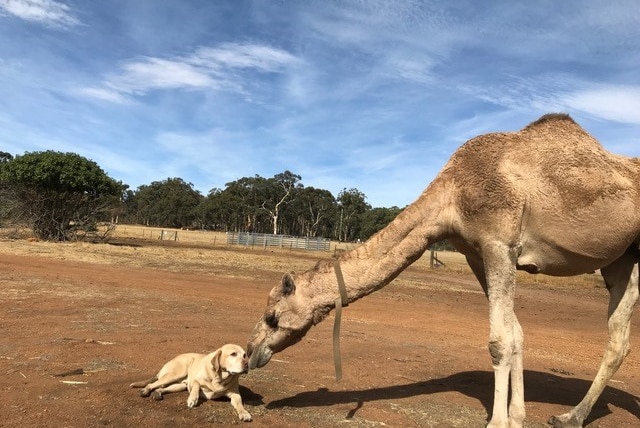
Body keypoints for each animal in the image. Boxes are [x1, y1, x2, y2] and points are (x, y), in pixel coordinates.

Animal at [246, 113, 640, 428]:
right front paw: (517, 417)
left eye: (271, 317)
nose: (251, 353)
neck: (453, 195)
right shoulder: (476, 254)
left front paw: (498, 422)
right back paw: (571, 416)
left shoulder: (500, 244)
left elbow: (499, 341)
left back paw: (572, 415)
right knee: (618, 339)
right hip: (623, 259)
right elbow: (516, 333)